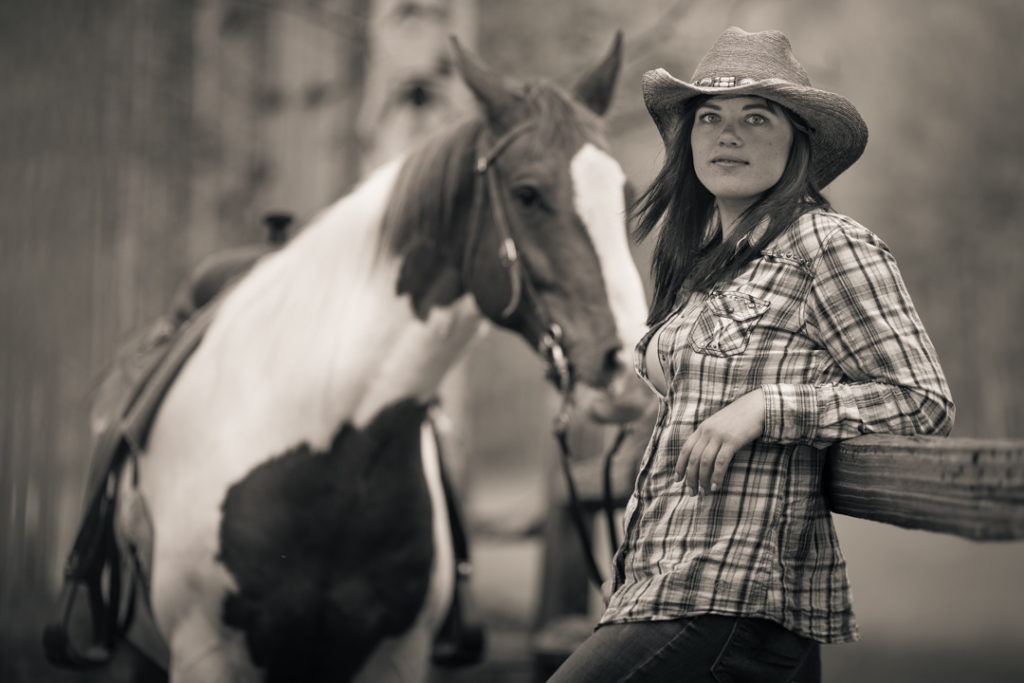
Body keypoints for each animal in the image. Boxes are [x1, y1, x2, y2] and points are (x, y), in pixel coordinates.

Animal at [117, 34, 647, 679]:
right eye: (527, 193)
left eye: (625, 195)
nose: (627, 370)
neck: (325, 454)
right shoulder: (206, 652)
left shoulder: (395, 654)